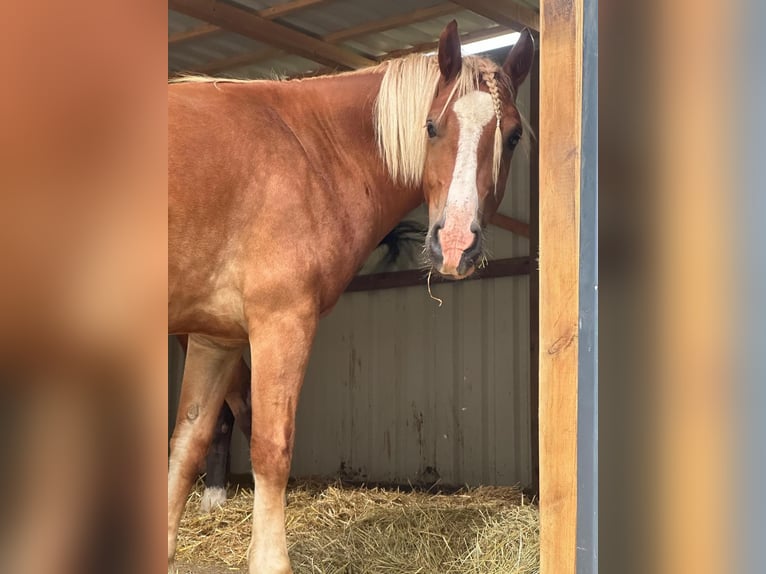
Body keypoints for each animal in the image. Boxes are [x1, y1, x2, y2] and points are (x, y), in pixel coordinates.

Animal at [171, 22, 536, 574]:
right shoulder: (281, 322)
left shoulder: (215, 338)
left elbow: (186, 446)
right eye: (431, 127)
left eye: (512, 136)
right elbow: (271, 449)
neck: (305, 150)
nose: (455, 245)